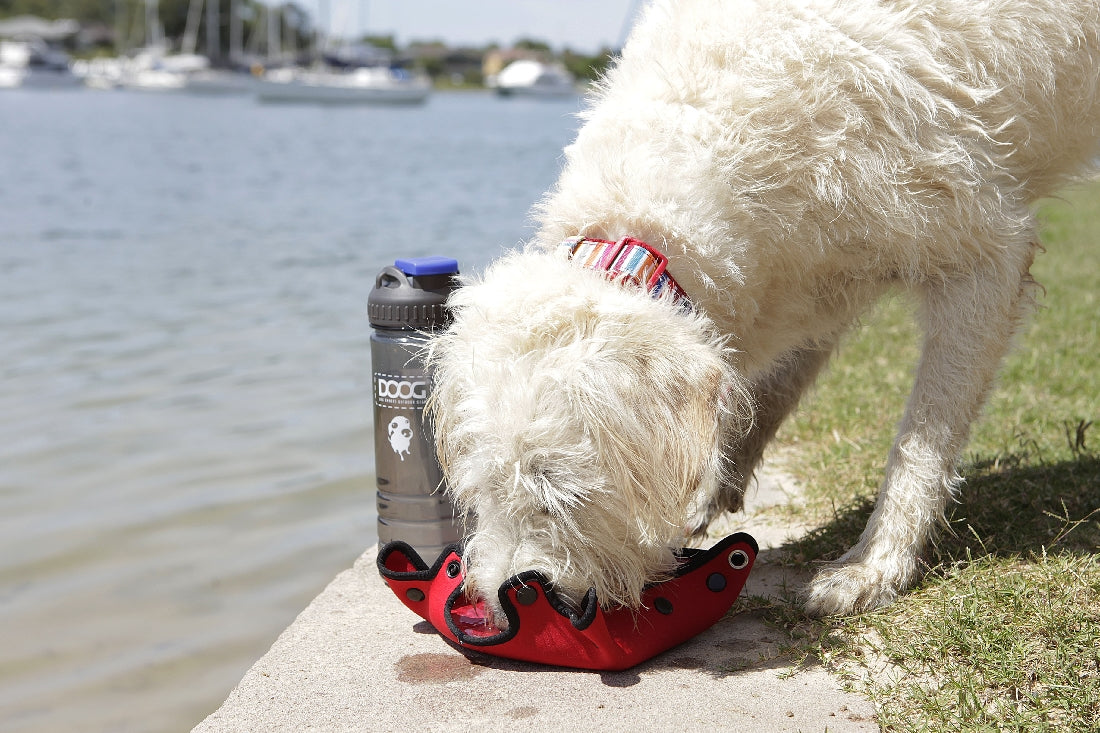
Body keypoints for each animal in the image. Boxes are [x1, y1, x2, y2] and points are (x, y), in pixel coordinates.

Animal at [426, 0, 1100, 616]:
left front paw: (873, 567)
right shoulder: (816, 277)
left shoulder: (985, 255)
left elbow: (922, 444)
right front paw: (710, 491)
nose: (502, 599)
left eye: (557, 493)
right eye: (480, 489)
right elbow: (769, 391)